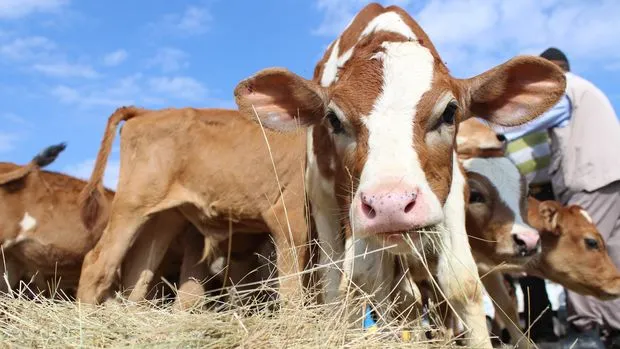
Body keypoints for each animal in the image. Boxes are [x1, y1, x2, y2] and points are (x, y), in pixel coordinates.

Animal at [77, 106, 310, 304]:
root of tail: (148, 112)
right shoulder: (289, 218)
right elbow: (293, 287)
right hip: (131, 205)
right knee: (96, 264)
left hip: (162, 217)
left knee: (136, 277)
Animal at [230, 2, 564, 346]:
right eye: (333, 120)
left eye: (450, 112)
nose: (390, 203)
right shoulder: (342, 207)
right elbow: (357, 281)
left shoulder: (451, 193)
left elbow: (462, 283)